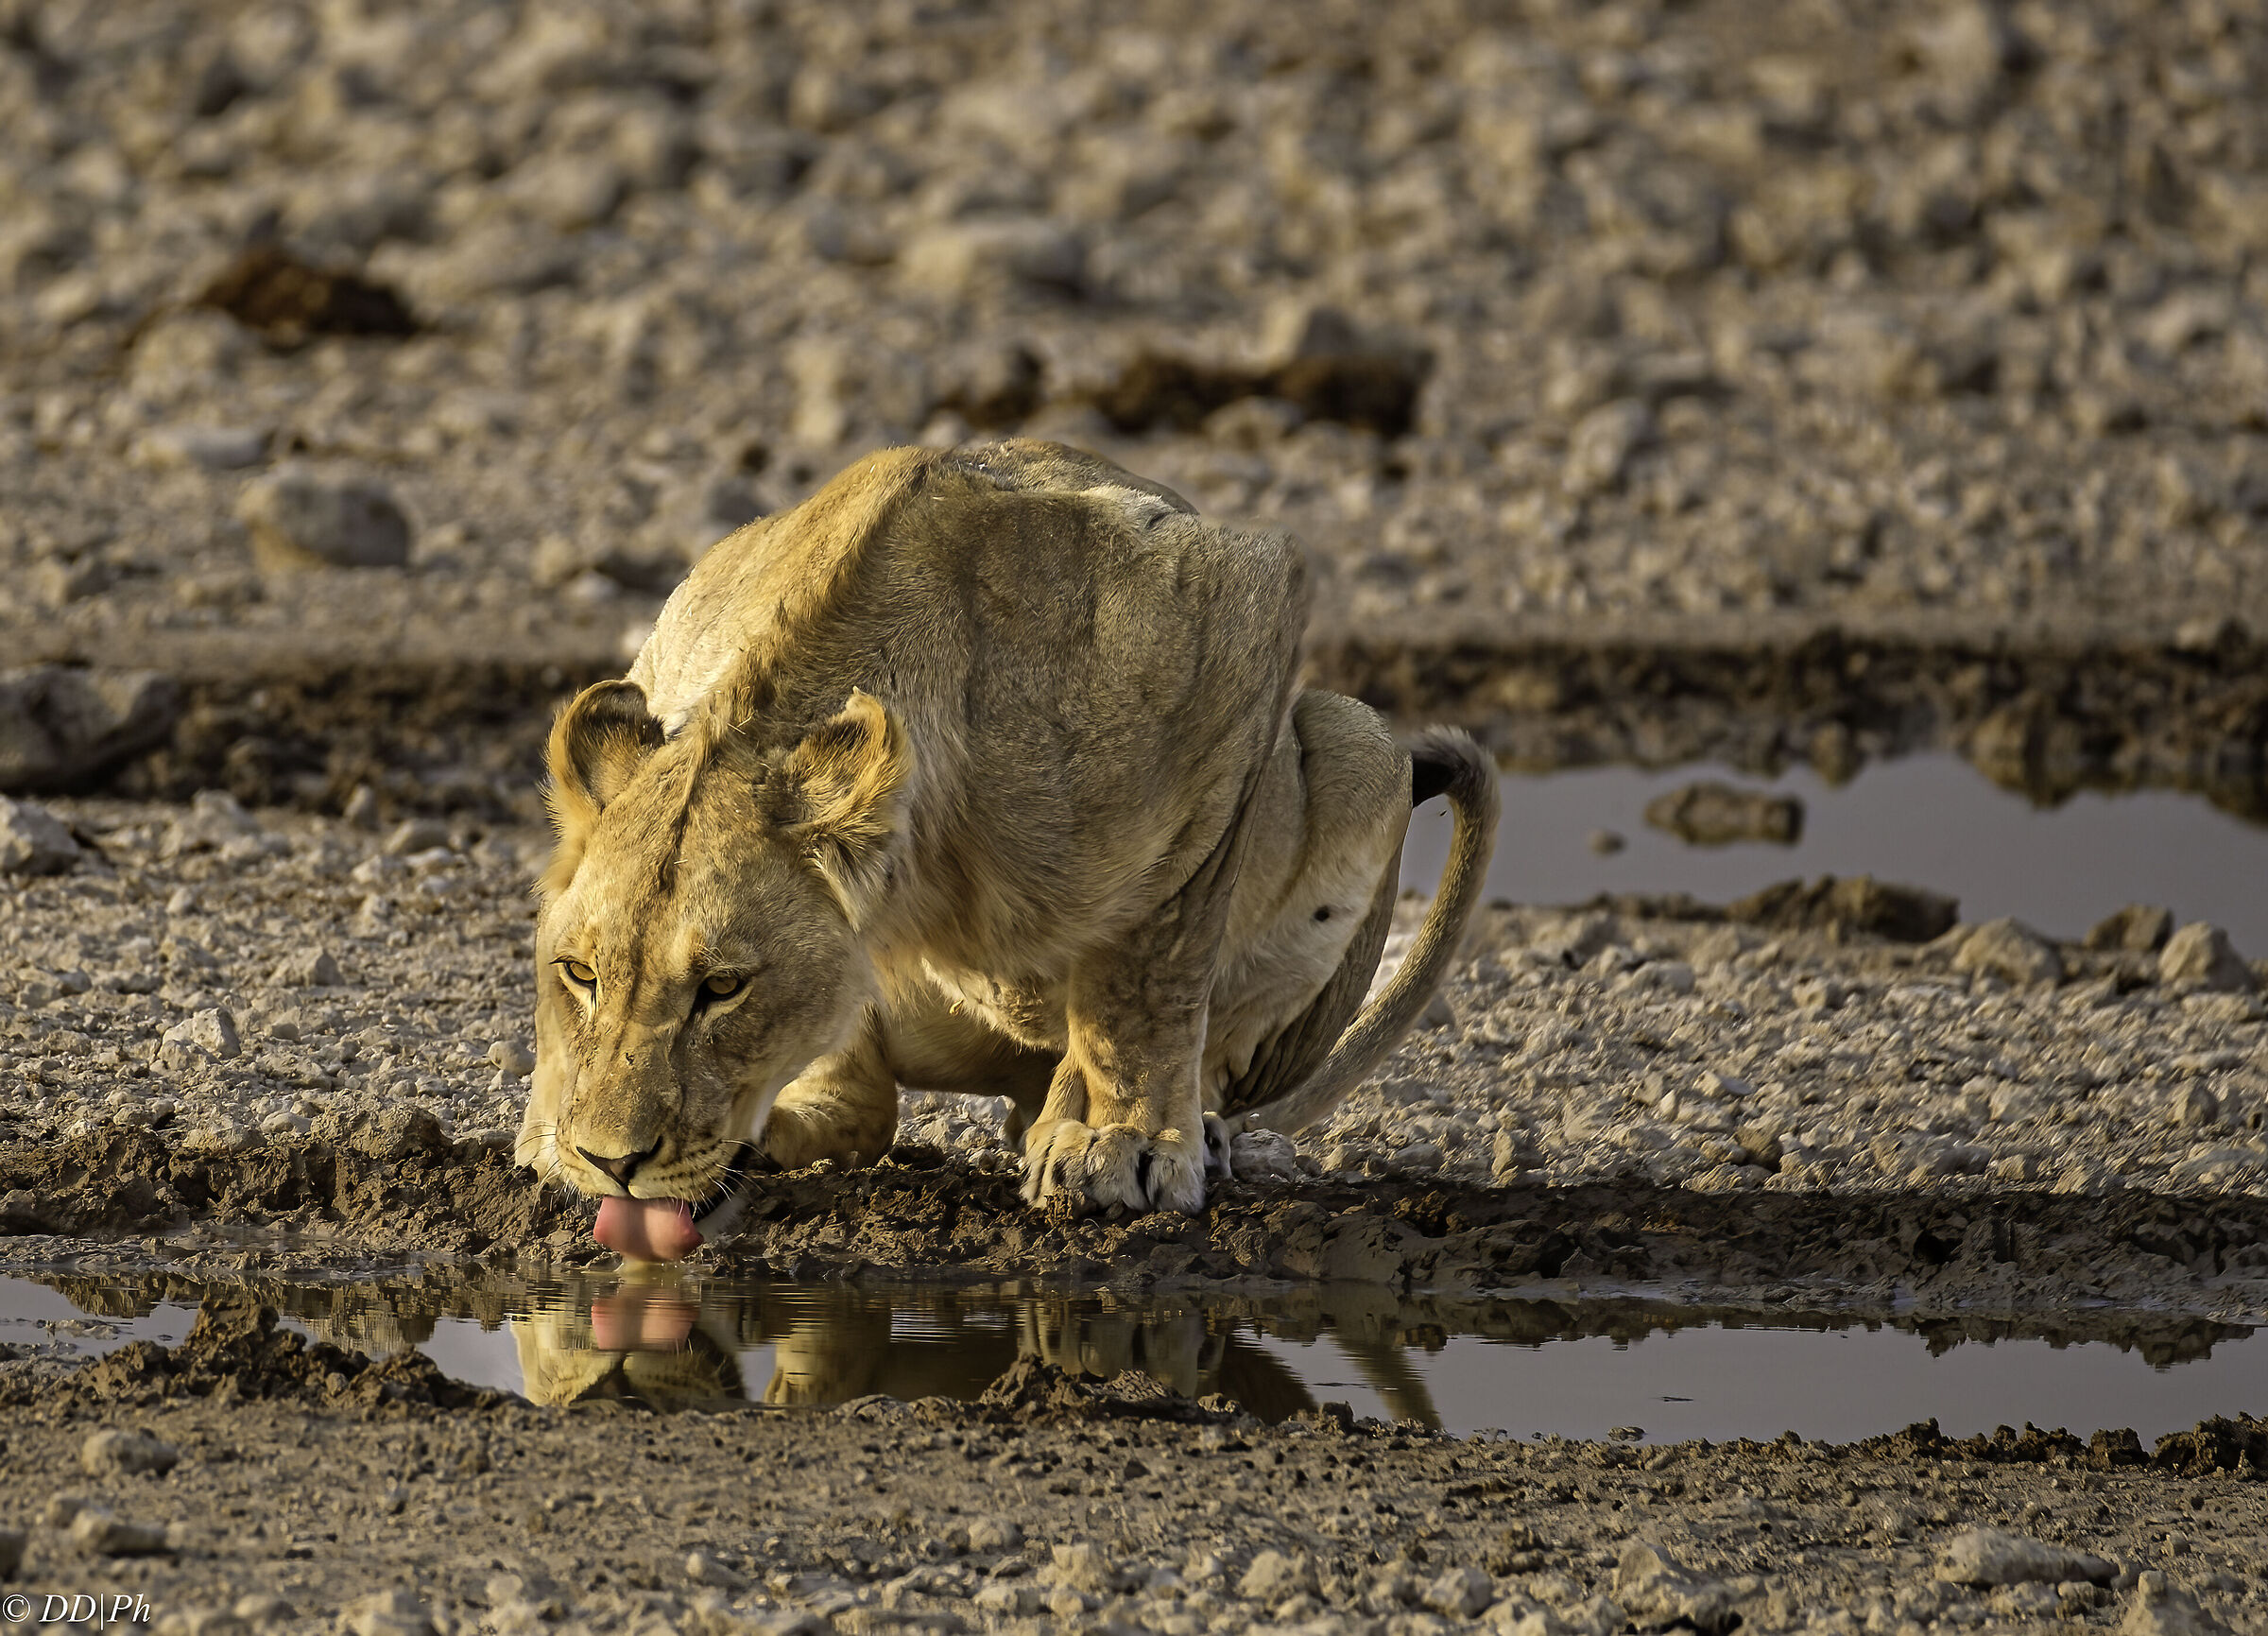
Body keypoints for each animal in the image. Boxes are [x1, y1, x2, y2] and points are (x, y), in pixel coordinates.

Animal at [516, 439, 1495, 1250]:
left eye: (723, 987)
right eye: (580, 974)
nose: (612, 1164)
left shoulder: (1230, 613)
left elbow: (1150, 970)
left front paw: (1127, 1139)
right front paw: (550, 1138)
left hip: (1359, 744)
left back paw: (1148, 1127)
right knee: (866, 1105)